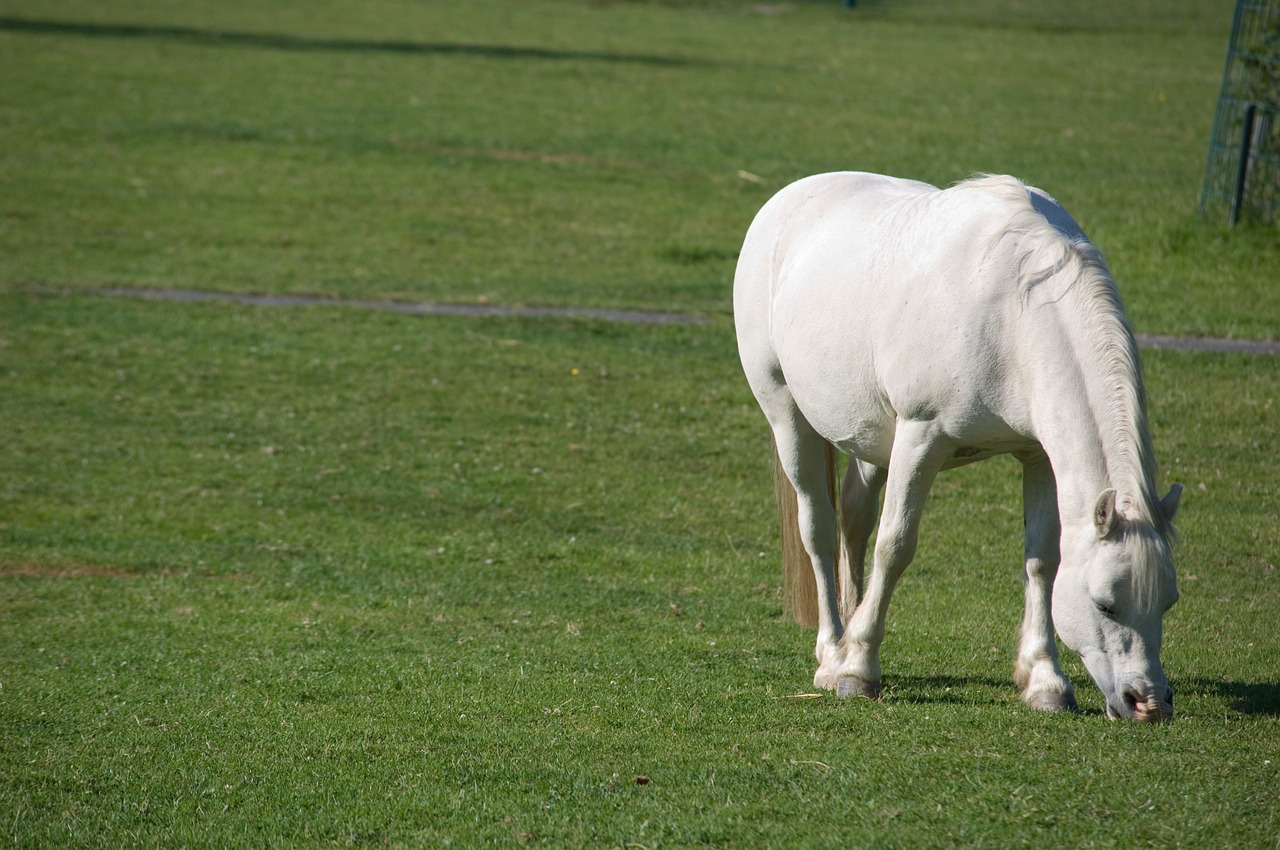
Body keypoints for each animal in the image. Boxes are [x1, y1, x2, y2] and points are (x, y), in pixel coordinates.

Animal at [737, 172, 1182, 721]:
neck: (1011, 310)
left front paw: (1045, 681)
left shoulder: (1037, 455)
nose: (1149, 703)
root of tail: (788, 199)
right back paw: (831, 653)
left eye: (1167, 602)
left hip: (872, 440)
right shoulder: (921, 436)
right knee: (818, 528)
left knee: (854, 521)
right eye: (1105, 604)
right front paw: (859, 671)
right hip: (787, 414)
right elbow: (895, 546)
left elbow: (1042, 559)